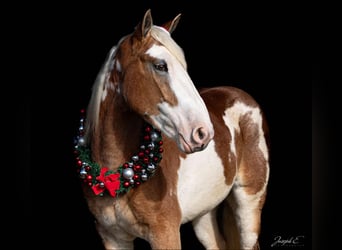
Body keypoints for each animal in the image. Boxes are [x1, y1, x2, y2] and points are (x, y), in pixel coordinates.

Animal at [74, 8, 270, 249]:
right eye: (160, 65)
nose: (203, 133)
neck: (115, 175)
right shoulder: (113, 238)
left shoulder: (165, 234)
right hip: (204, 215)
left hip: (249, 205)